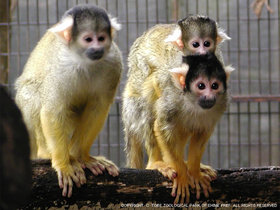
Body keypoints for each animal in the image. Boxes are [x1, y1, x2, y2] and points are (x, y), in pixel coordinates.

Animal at [15, 5, 122, 199]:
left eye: (101, 38)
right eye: (88, 39)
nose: (97, 48)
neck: (84, 60)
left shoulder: (113, 62)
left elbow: (98, 108)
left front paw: (82, 157)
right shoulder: (60, 67)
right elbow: (53, 110)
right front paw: (64, 165)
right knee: (33, 93)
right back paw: (46, 154)